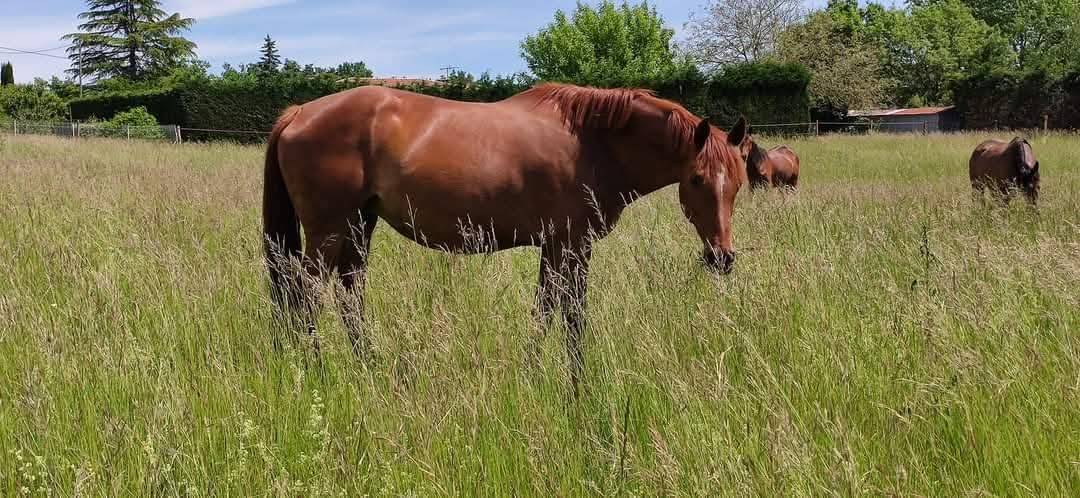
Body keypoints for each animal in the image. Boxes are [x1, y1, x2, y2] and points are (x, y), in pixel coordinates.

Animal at [261, 83, 749, 393]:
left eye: (739, 182)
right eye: (698, 179)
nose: (722, 258)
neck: (593, 142)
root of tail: (300, 112)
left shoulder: (556, 246)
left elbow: (547, 309)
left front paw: (538, 373)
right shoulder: (573, 244)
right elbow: (570, 313)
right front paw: (574, 383)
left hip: (358, 226)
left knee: (348, 294)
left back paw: (368, 365)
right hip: (329, 230)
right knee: (305, 293)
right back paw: (315, 368)